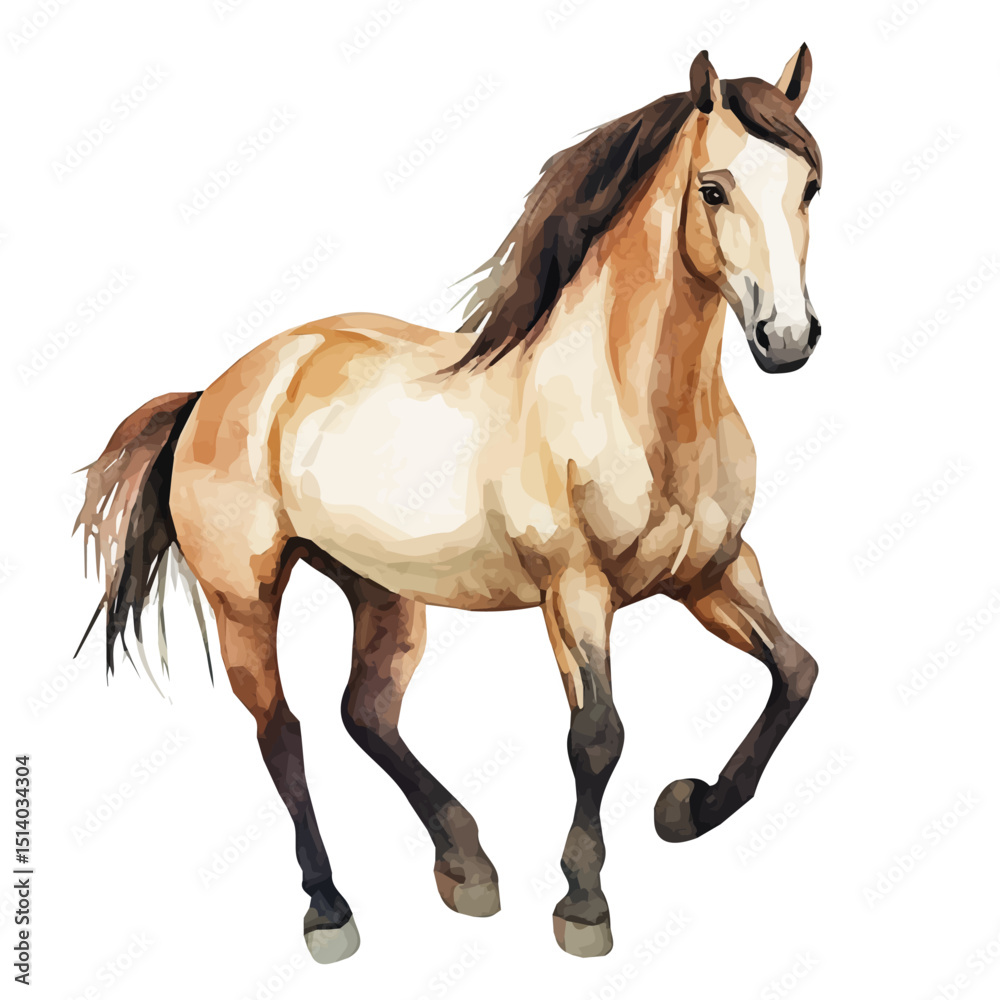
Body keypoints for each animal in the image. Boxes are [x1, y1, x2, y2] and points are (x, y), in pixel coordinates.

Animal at [75, 46, 823, 962]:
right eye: (713, 189)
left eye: (810, 184)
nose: (786, 338)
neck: (635, 403)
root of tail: (215, 390)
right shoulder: (575, 591)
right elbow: (598, 735)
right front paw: (583, 906)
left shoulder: (714, 573)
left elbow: (795, 673)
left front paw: (687, 807)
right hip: (243, 596)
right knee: (281, 731)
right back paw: (329, 909)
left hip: (381, 591)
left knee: (365, 713)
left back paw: (465, 864)